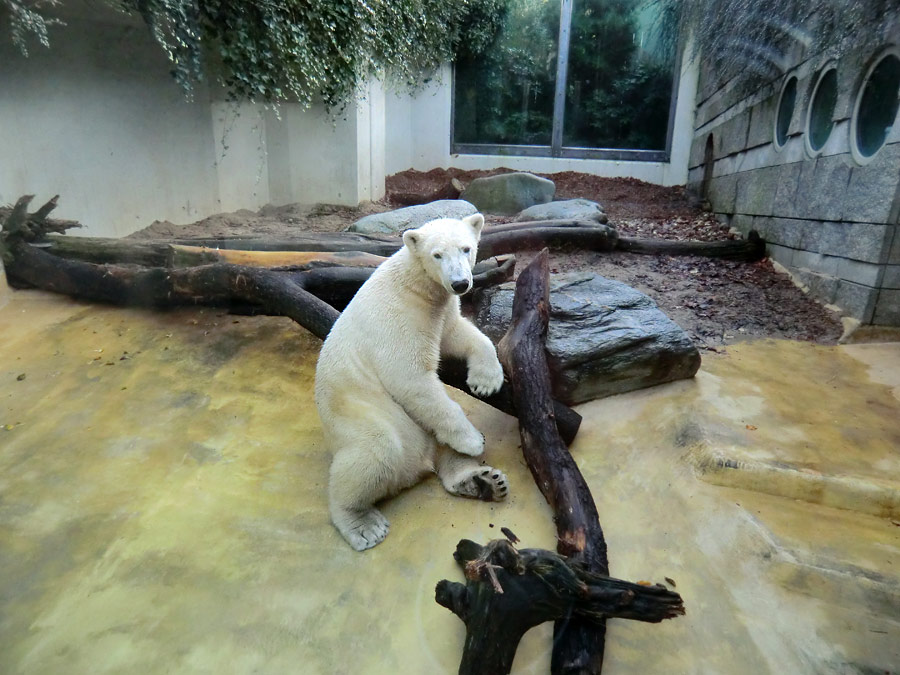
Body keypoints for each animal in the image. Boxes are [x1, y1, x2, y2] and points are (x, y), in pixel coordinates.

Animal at [316, 214, 510, 552]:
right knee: (375, 450)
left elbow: (458, 333)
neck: (415, 284)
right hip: (356, 416)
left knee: (440, 448)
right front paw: (473, 440)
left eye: (466, 248)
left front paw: (486, 381)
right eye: (437, 255)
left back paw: (482, 480)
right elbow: (410, 377)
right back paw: (363, 524)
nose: (460, 283)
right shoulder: (397, 317)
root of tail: (417, 465)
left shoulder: (440, 309)